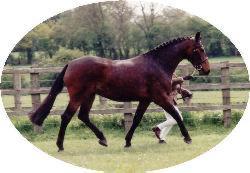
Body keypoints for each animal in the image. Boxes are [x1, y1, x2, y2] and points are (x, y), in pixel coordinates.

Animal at [29, 31, 210, 151]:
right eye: (200, 49)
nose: (207, 70)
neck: (157, 64)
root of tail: (70, 64)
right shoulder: (160, 97)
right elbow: (176, 116)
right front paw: (187, 138)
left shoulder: (145, 99)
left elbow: (136, 120)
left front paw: (128, 142)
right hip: (78, 96)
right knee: (66, 116)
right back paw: (60, 145)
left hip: (89, 96)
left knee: (83, 116)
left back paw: (102, 139)